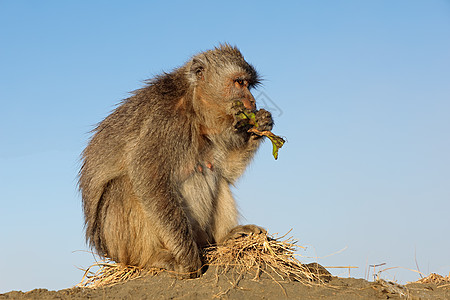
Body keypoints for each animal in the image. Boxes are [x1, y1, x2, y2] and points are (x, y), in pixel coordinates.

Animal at [78, 43, 272, 278]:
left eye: (249, 85)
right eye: (239, 83)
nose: (252, 101)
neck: (193, 105)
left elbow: (225, 171)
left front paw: (260, 125)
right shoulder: (164, 121)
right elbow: (149, 179)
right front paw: (189, 259)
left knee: (216, 176)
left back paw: (226, 236)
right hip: (118, 247)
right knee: (123, 185)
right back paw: (152, 258)